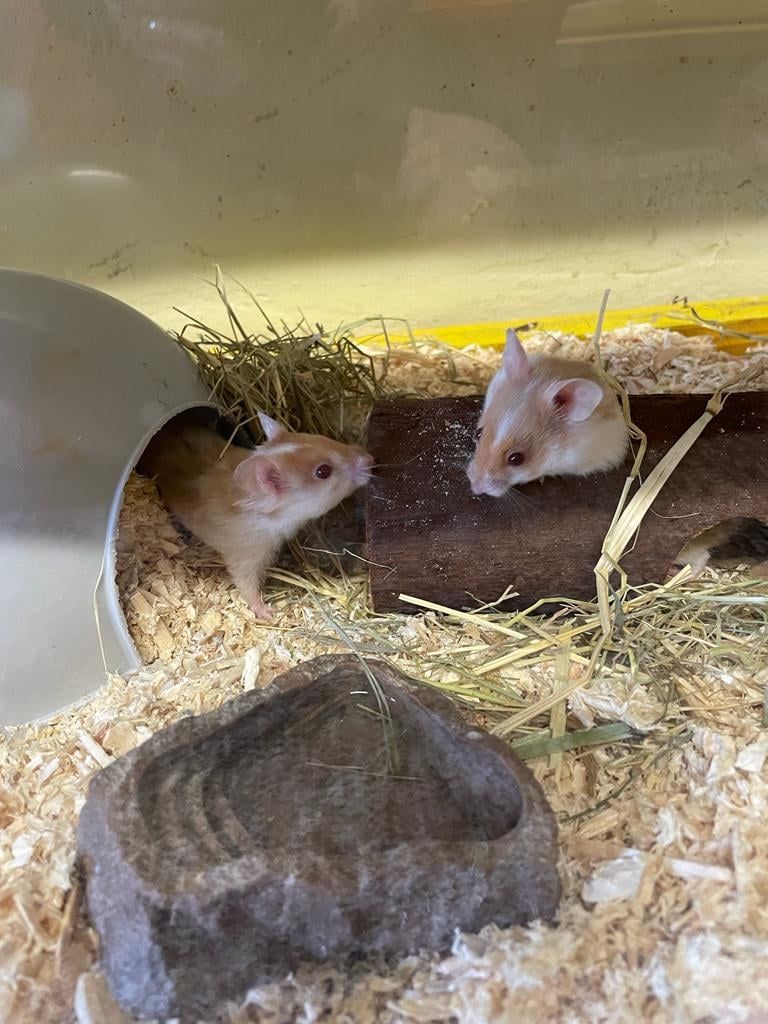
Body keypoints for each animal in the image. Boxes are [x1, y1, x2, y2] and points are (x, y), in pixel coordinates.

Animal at [138, 408, 374, 619]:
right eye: (323, 471)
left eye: (321, 438)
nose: (370, 458)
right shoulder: (244, 554)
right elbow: (246, 584)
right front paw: (268, 613)